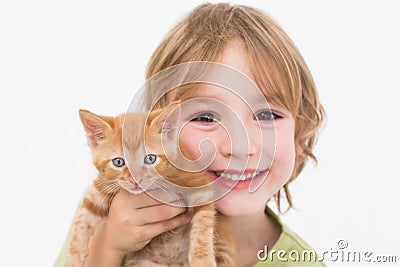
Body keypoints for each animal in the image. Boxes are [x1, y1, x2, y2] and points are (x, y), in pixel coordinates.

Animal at [64, 104, 236, 267]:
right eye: (118, 162)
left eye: (150, 159)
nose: (136, 180)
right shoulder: (103, 184)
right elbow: (81, 220)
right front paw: (73, 259)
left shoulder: (199, 184)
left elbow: (202, 227)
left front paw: (203, 260)